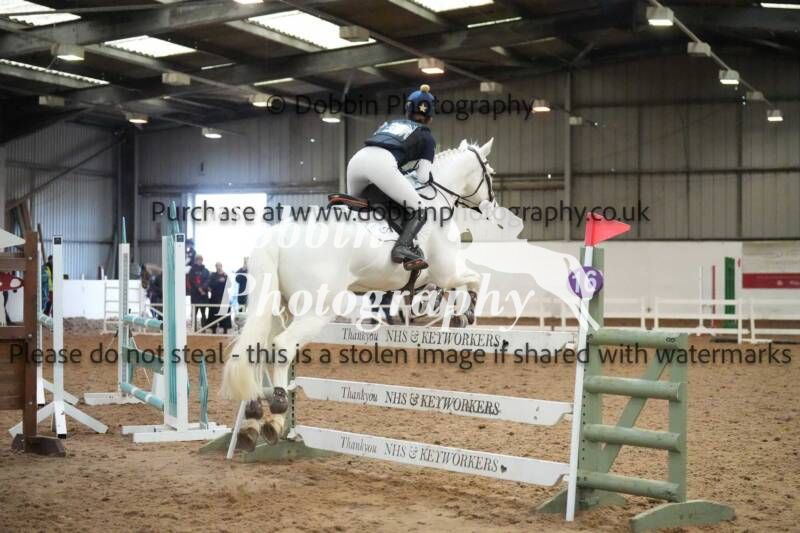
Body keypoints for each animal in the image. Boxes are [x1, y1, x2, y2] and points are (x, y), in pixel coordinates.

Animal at [220, 139, 497, 448]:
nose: (492, 204)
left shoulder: (434, 278)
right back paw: (278, 407)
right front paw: (467, 315)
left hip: (277, 307)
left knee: (257, 347)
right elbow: (474, 281)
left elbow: (454, 288)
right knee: (282, 345)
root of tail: (278, 235)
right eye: (489, 172)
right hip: (316, 310)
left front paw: (457, 314)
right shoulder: (446, 272)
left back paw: (256, 412)